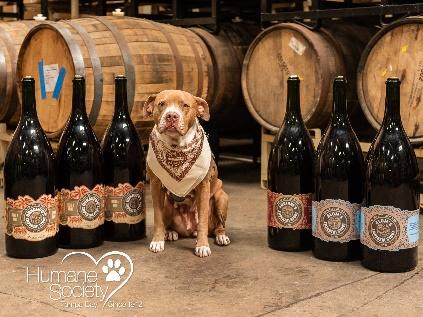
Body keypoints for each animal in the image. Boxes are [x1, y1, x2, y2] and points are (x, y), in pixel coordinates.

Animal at [143, 89, 230, 256]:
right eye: (161, 104)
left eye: (185, 105)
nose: (171, 115)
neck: (176, 147)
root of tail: (189, 230)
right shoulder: (155, 186)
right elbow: (158, 218)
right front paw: (157, 241)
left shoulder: (204, 187)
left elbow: (202, 220)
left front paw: (202, 246)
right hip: (167, 203)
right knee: (168, 223)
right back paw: (170, 232)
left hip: (222, 197)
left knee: (218, 225)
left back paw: (221, 236)